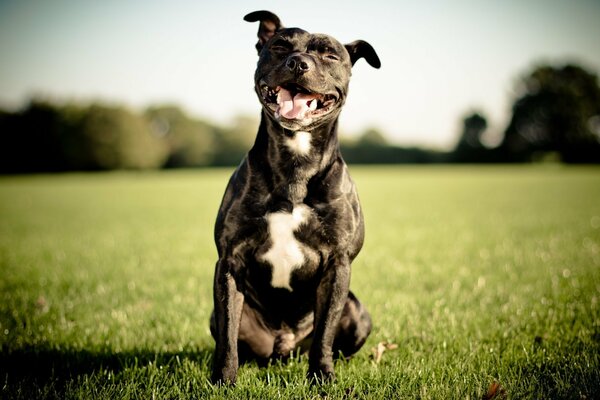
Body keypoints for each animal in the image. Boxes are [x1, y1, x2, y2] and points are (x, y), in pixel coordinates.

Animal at [211, 9, 380, 384]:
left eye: (330, 55)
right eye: (279, 47)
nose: (298, 63)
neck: (295, 165)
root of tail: (284, 346)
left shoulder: (337, 265)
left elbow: (325, 332)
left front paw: (321, 376)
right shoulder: (229, 262)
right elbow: (228, 335)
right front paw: (223, 380)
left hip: (358, 312)